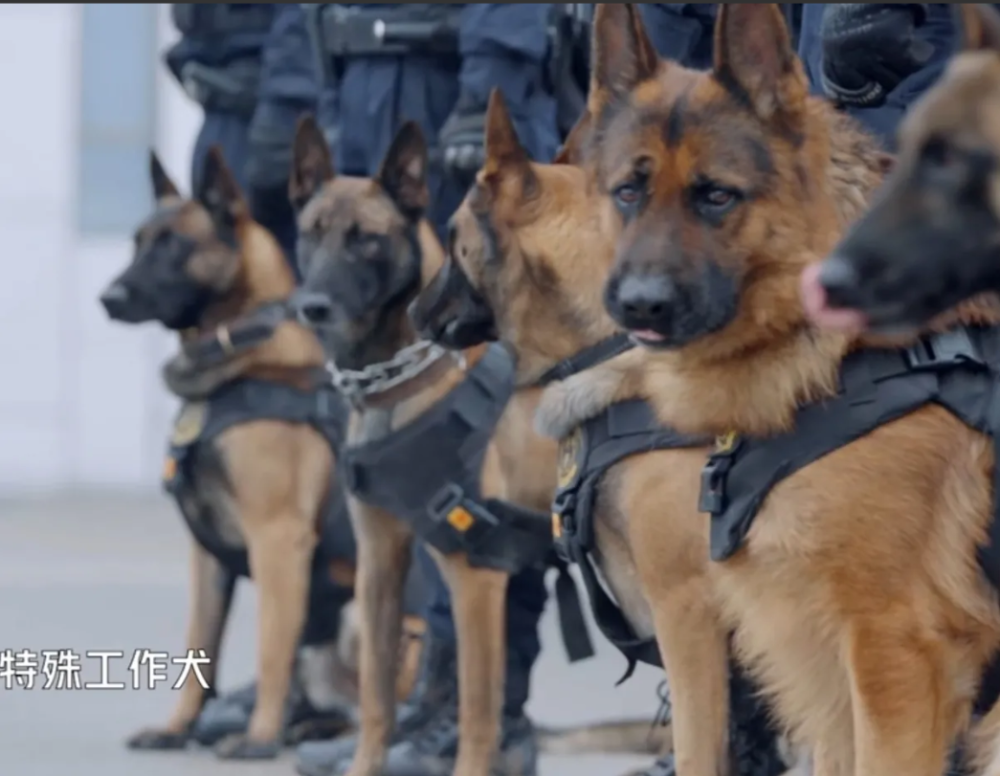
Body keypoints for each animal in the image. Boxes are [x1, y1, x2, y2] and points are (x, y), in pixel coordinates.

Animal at [101, 149, 426, 760]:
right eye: (137, 242)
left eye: (174, 246)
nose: (108, 300)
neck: (244, 351)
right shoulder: (206, 557)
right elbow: (199, 646)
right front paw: (178, 728)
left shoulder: (277, 540)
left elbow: (270, 649)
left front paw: (258, 737)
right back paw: (304, 728)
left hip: (359, 613)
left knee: (370, 703)